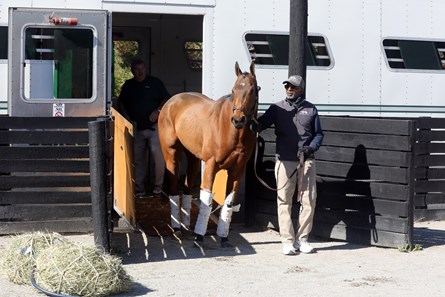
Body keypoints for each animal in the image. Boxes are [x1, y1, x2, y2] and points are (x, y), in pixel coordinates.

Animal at [159, 60, 256, 247]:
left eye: (253, 89)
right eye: (233, 90)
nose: (238, 119)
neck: (231, 131)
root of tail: (171, 101)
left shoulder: (237, 170)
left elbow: (229, 202)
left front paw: (224, 237)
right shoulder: (211, 165)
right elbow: (206, 201)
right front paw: (200, 237)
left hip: (194, 159)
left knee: (187, 189)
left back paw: (186, 227)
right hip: (171, 154)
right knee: (174, 188)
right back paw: (177, 229)